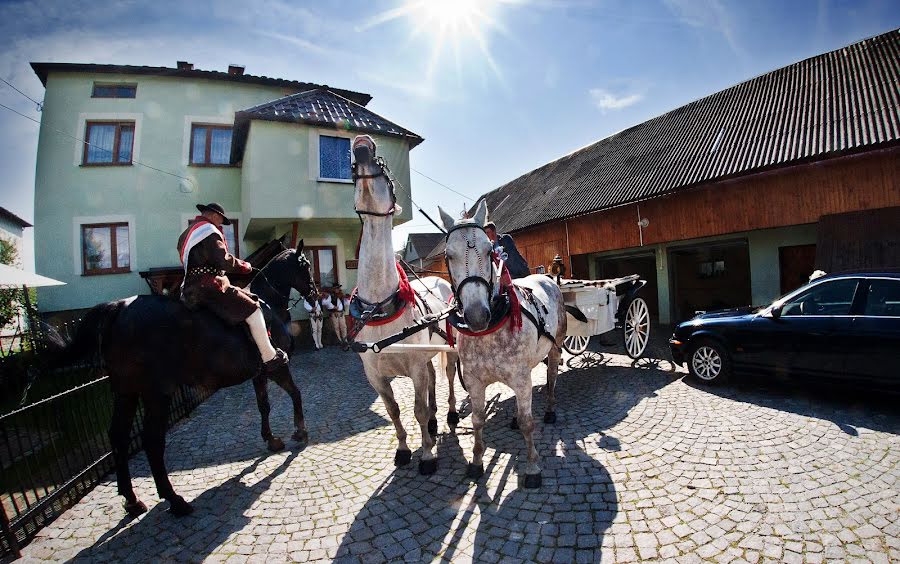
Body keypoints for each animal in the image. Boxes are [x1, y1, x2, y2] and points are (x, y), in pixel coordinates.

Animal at [48, 238, 320, 516]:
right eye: (307, 265)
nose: (315, 294)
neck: (269, 304)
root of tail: (120, 307)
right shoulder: (277, 368)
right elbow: (295, 393)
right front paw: (300, 431)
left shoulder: (259, 373)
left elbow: (263, 405)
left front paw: (271, 439)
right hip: (157, 393)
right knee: (152, 441)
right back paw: (175, 500)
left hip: (126, 391)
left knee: (119, 436)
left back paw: (132, 500)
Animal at [350, 134, 460, 474]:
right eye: (352, 167)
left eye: (385, 171)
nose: (362, 143)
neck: (379, 307)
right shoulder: (374, 375)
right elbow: (395, 411)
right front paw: (402, 449)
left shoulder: (413, 367)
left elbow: (417, 410)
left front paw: (426, 454)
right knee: (433, 379)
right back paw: (436, 422)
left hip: (448, 349)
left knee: (447, 377)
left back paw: (449, 414)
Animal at [436, 204, 564, 490]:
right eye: (449, 255)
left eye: (488, 251)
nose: (476, 315)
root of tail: (548, 278)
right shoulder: (474, 381)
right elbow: (477, 420)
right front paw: (476, 462)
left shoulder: (520, 377)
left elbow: (528, 423)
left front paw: (532, 466)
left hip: (555, 347)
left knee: (551, 377)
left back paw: (551, 409)